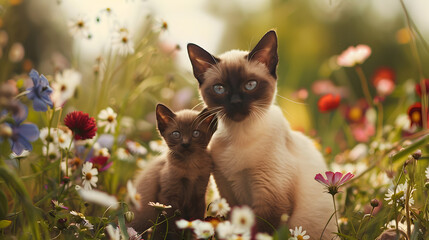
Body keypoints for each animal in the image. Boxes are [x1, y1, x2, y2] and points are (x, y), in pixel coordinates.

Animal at [130, 104, 217, 239]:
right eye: (176, 134)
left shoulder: (199, 196)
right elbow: (172, 227)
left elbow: (196, 222)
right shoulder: (169, 198)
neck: (190, 166)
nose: (185, 143)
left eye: (196, 133)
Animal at [186, 30, 336, 238]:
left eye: (250, 85)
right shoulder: (228, 194)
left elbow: (256, 231)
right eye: (220, 88)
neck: (239, 136)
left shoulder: (272, 200)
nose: (236, 102)